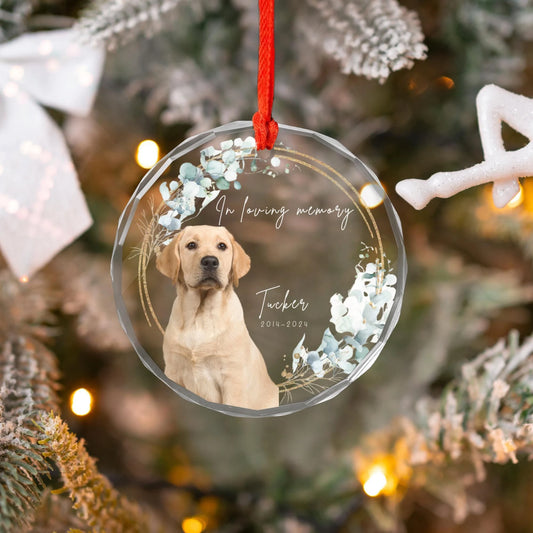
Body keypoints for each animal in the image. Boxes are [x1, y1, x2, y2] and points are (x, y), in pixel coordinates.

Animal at [156, 223, 278, 408]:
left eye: (222, 246)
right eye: (191, 245)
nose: (210, 261)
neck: (200, 315)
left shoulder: (233, 378)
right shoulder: (173, 371)